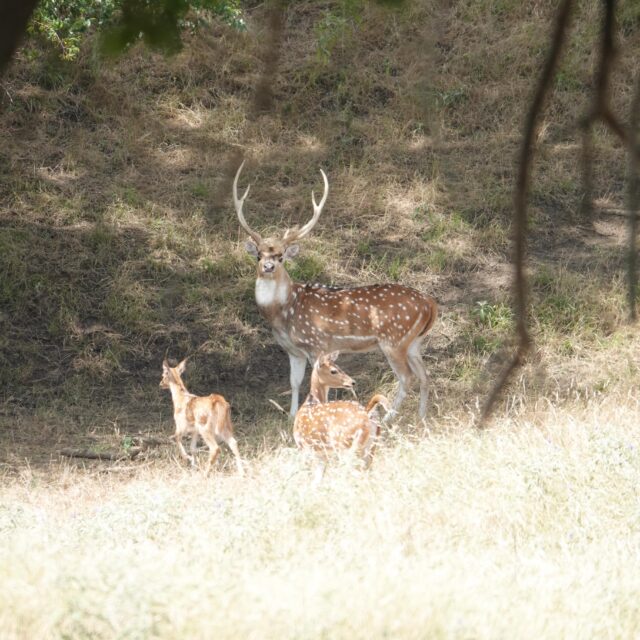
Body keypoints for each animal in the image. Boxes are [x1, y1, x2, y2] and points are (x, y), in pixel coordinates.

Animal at [233, 161, 437, 419]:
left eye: (280, 257)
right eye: (259, 255)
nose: (268, 267)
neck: (283, 312)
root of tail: (430, 303)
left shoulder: (317, 343)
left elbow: (318, 381)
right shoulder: (293, 351)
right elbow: (294, 382)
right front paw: (291, 417)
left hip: (394, 340)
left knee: (407, 378)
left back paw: (388, 419)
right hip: (414, 342)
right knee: (425, 376)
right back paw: (421, 418)